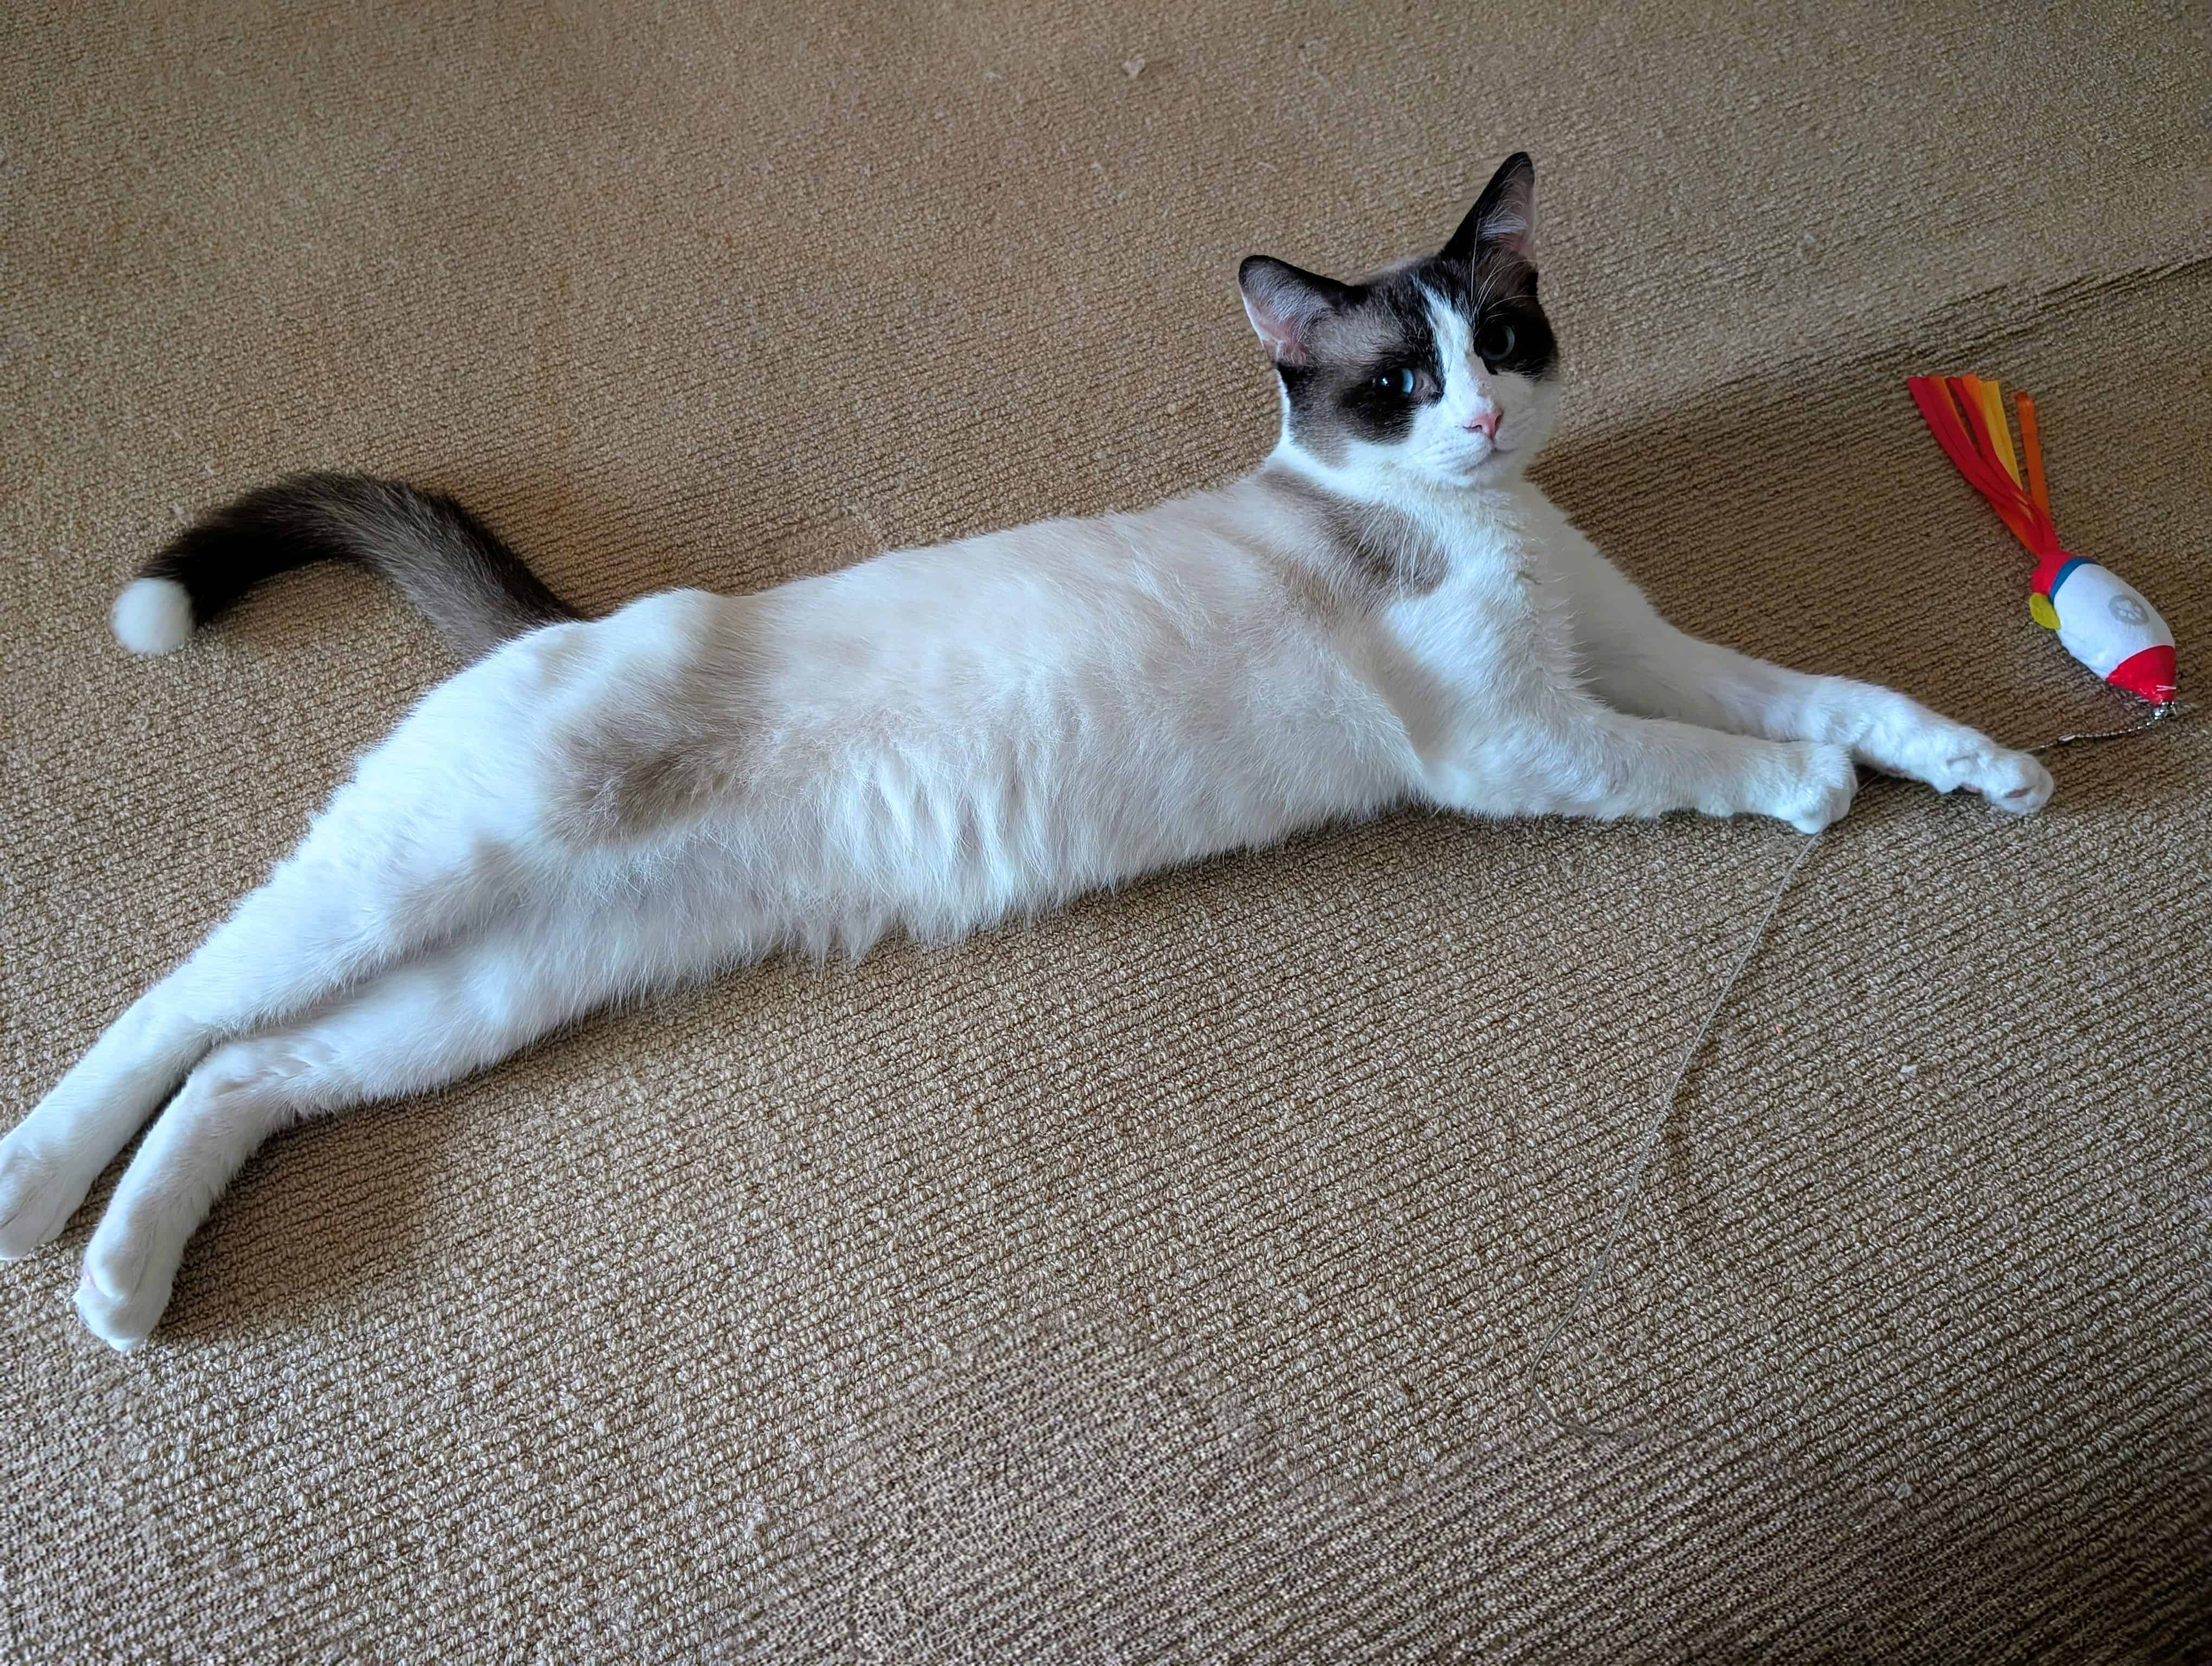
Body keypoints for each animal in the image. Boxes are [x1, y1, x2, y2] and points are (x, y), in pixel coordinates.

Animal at [2, 153, 2053, 1350]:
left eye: (1506, 337)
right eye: (1397, 384)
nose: (1477, 424)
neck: (1488, 530)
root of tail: (569, 621)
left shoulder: (1633, 652)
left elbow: (1835, 691)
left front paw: (1985, 765)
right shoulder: (1527, 736)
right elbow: (1707, 758)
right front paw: (1807, 801)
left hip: (501, 981)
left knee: (257, 1071)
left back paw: (128, 1280)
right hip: (417, 881)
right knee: (178, 1011)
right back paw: (36, 1198)